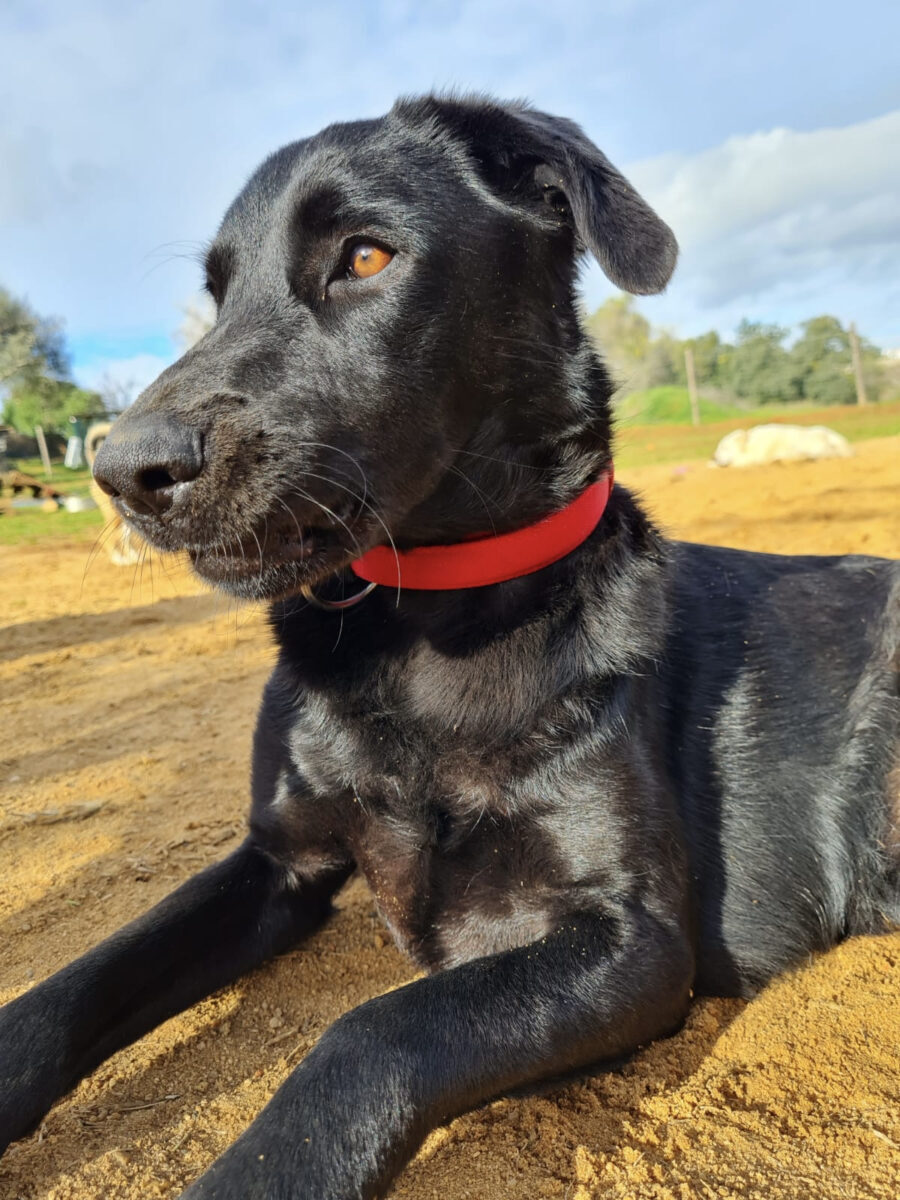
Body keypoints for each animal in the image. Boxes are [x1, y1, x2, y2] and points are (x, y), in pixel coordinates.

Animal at [1, 95, 897, 1199]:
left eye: (367, 256)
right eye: (217, 293)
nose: (125, 472)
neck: (422, 631)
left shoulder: (634, 941)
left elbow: (369, 1034)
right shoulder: (278, 858)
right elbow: (74, 984)